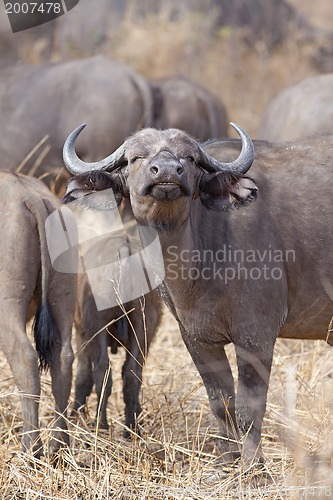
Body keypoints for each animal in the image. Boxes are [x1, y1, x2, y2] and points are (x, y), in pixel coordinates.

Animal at [0, 172, 76, 458]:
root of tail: (29, 196)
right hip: (62, 298)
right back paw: (58, 445)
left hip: (7, 307)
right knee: (63, 358)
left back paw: (31, 448)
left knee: (26, 359)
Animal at [72, 278, 162, 434]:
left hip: (96, 326)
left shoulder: (81, 333)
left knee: (102, 372)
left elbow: (82, 376)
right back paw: (131, 429)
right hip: (142, 325)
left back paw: (101, 425)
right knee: (131, 373)